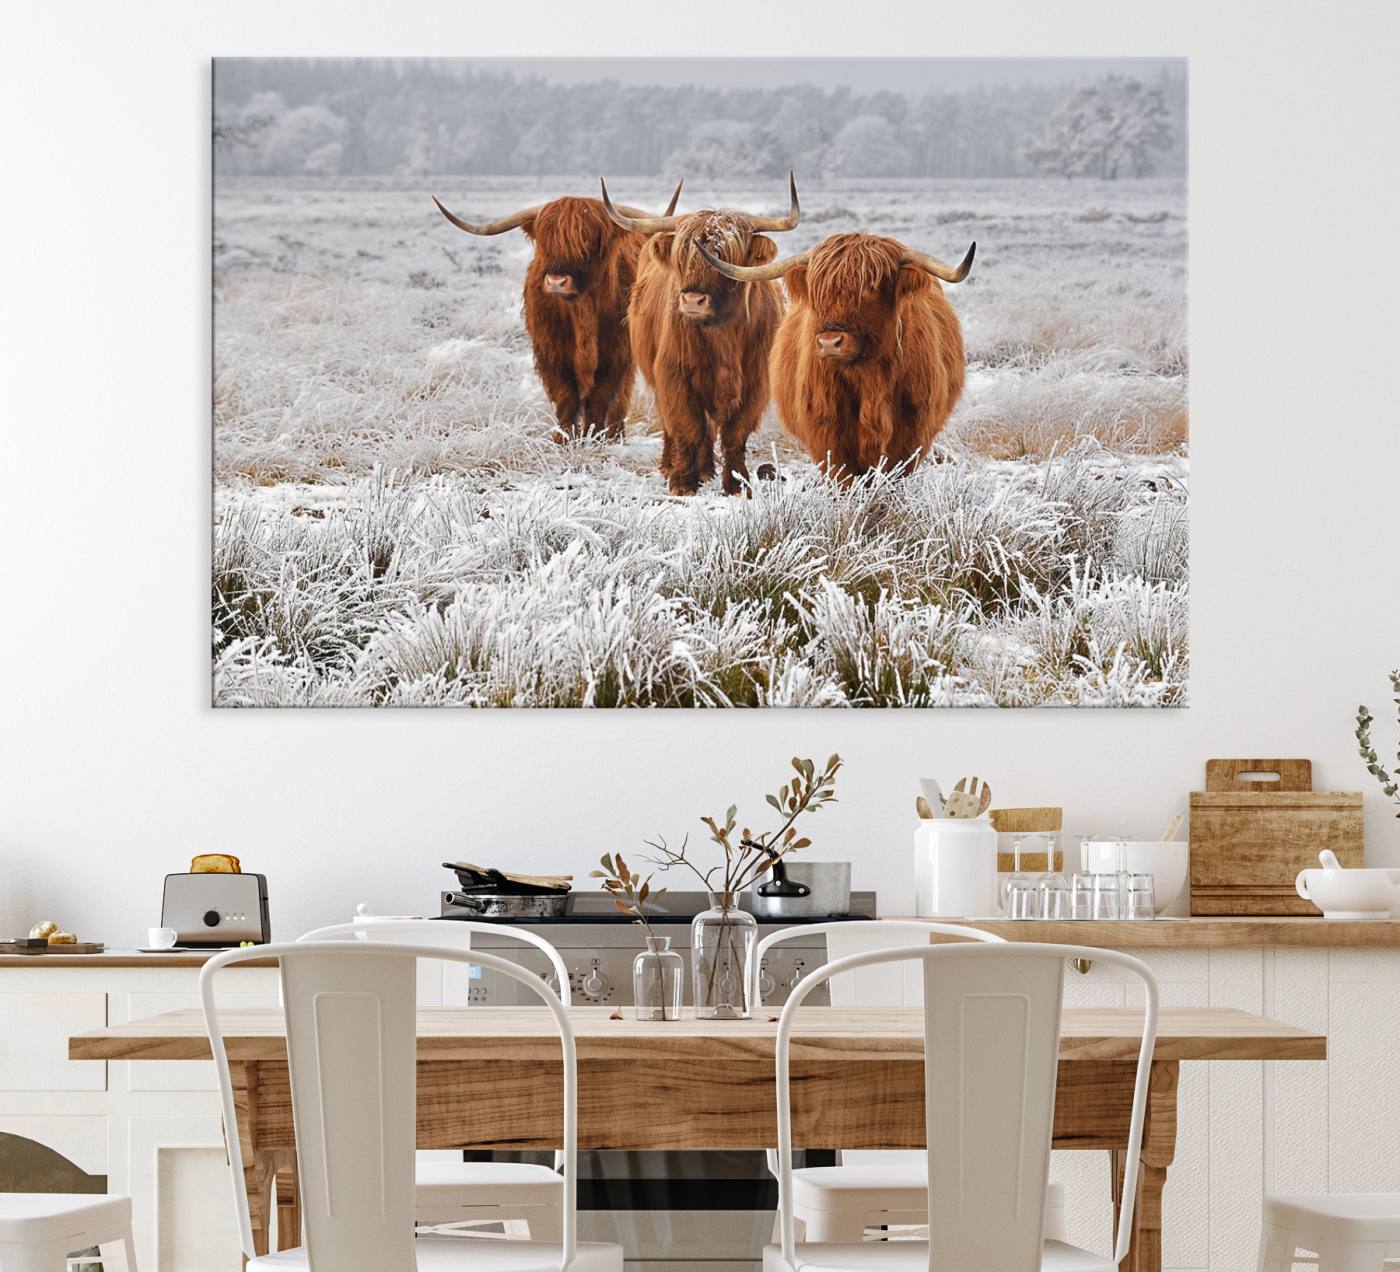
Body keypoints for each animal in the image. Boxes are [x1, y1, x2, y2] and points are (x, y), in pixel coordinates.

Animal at [432, 182, 682, 442]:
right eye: (545, 241)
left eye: (589, 240)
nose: (556, 281)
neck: (581, 312)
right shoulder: (551, 354)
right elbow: (566, 399)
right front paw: (563, 440)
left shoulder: (616, 355)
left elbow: (599, 400)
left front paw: (593, 438)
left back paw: (615, 435)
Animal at [600, 175, 801, 496]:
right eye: (682, 256)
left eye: (725, 256)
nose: (693, 300)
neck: (723, 334)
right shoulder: (674, 375)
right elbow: (687, 427)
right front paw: (682, 482)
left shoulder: (755, 383)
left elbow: (735, 434)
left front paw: (737, 484)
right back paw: (675, 466)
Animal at [695, 232, 974, 480]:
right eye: (817, 290)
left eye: (871, 287)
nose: (830, 343)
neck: (869, 379)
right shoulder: (827, 433)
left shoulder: (911, 433)